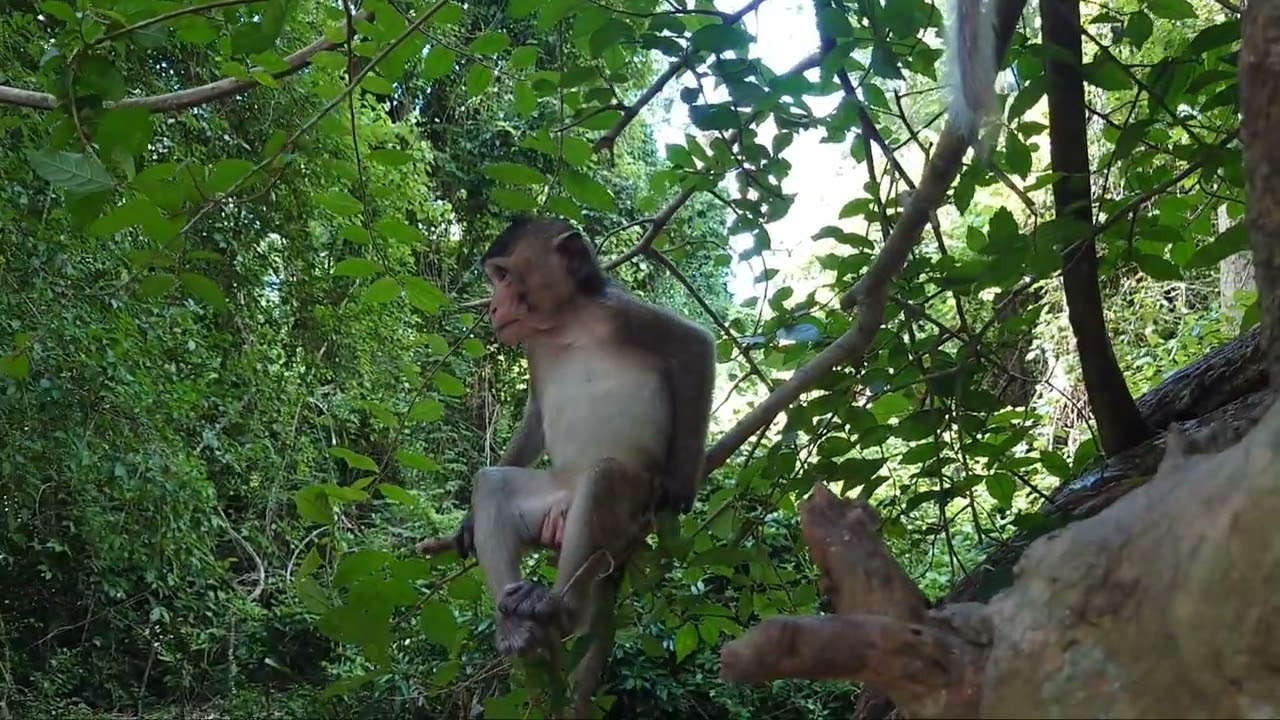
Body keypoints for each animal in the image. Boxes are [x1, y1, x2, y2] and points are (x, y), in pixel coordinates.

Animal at [450, 216, 716, 666]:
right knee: (493, 484)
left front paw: (680, 484)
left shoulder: (619, 312)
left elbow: (694, 346)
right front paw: (469, 521)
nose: (493, 306)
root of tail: (566, 499)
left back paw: (561, 608)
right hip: (547, 502)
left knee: (604, 477)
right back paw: (514, 624)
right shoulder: (534, 346)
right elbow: (536, 416)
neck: (566, 323)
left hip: (628, 511)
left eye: (505, 276)